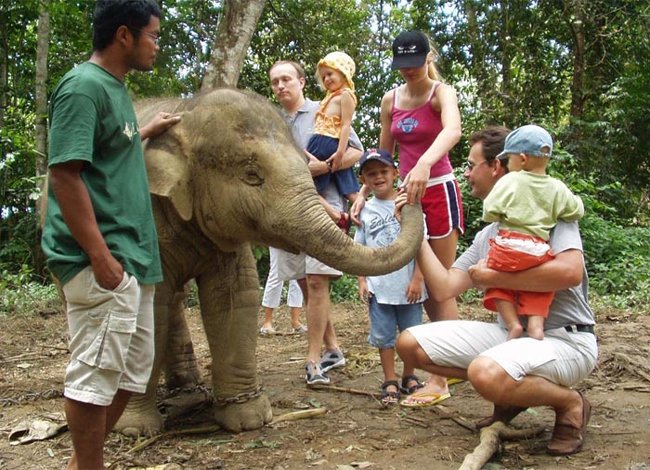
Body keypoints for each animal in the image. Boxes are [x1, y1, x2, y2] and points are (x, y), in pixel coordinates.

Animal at [114, 88, 424, 435]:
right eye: (252, 175)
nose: (405, 191)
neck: (186, 111)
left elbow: (236, 296)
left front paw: (249, 418)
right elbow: (149, 304)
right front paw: (135, 429)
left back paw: (189, 391)